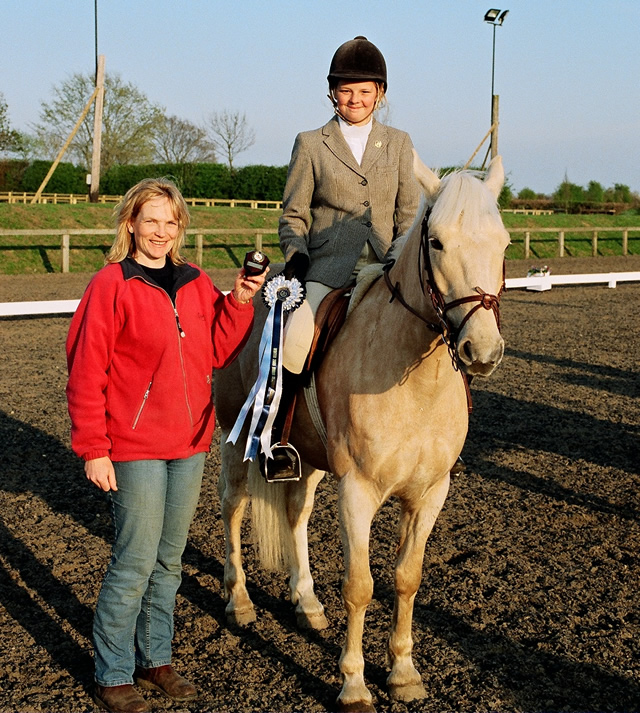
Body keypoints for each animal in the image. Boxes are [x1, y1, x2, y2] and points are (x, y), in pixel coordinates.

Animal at [215, 153, 510, 708]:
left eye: (503, 243)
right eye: (436, 242)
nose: (481, 351)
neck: (415, 380)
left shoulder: (430, 494)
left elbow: (407, 579)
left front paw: (404, 673)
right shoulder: (357, 490)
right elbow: (360, 586)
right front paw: (353, 684)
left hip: (305, 457)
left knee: (296, 513)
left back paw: (306, 603)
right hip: (235, 440)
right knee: (234, 507)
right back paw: (239, 601)